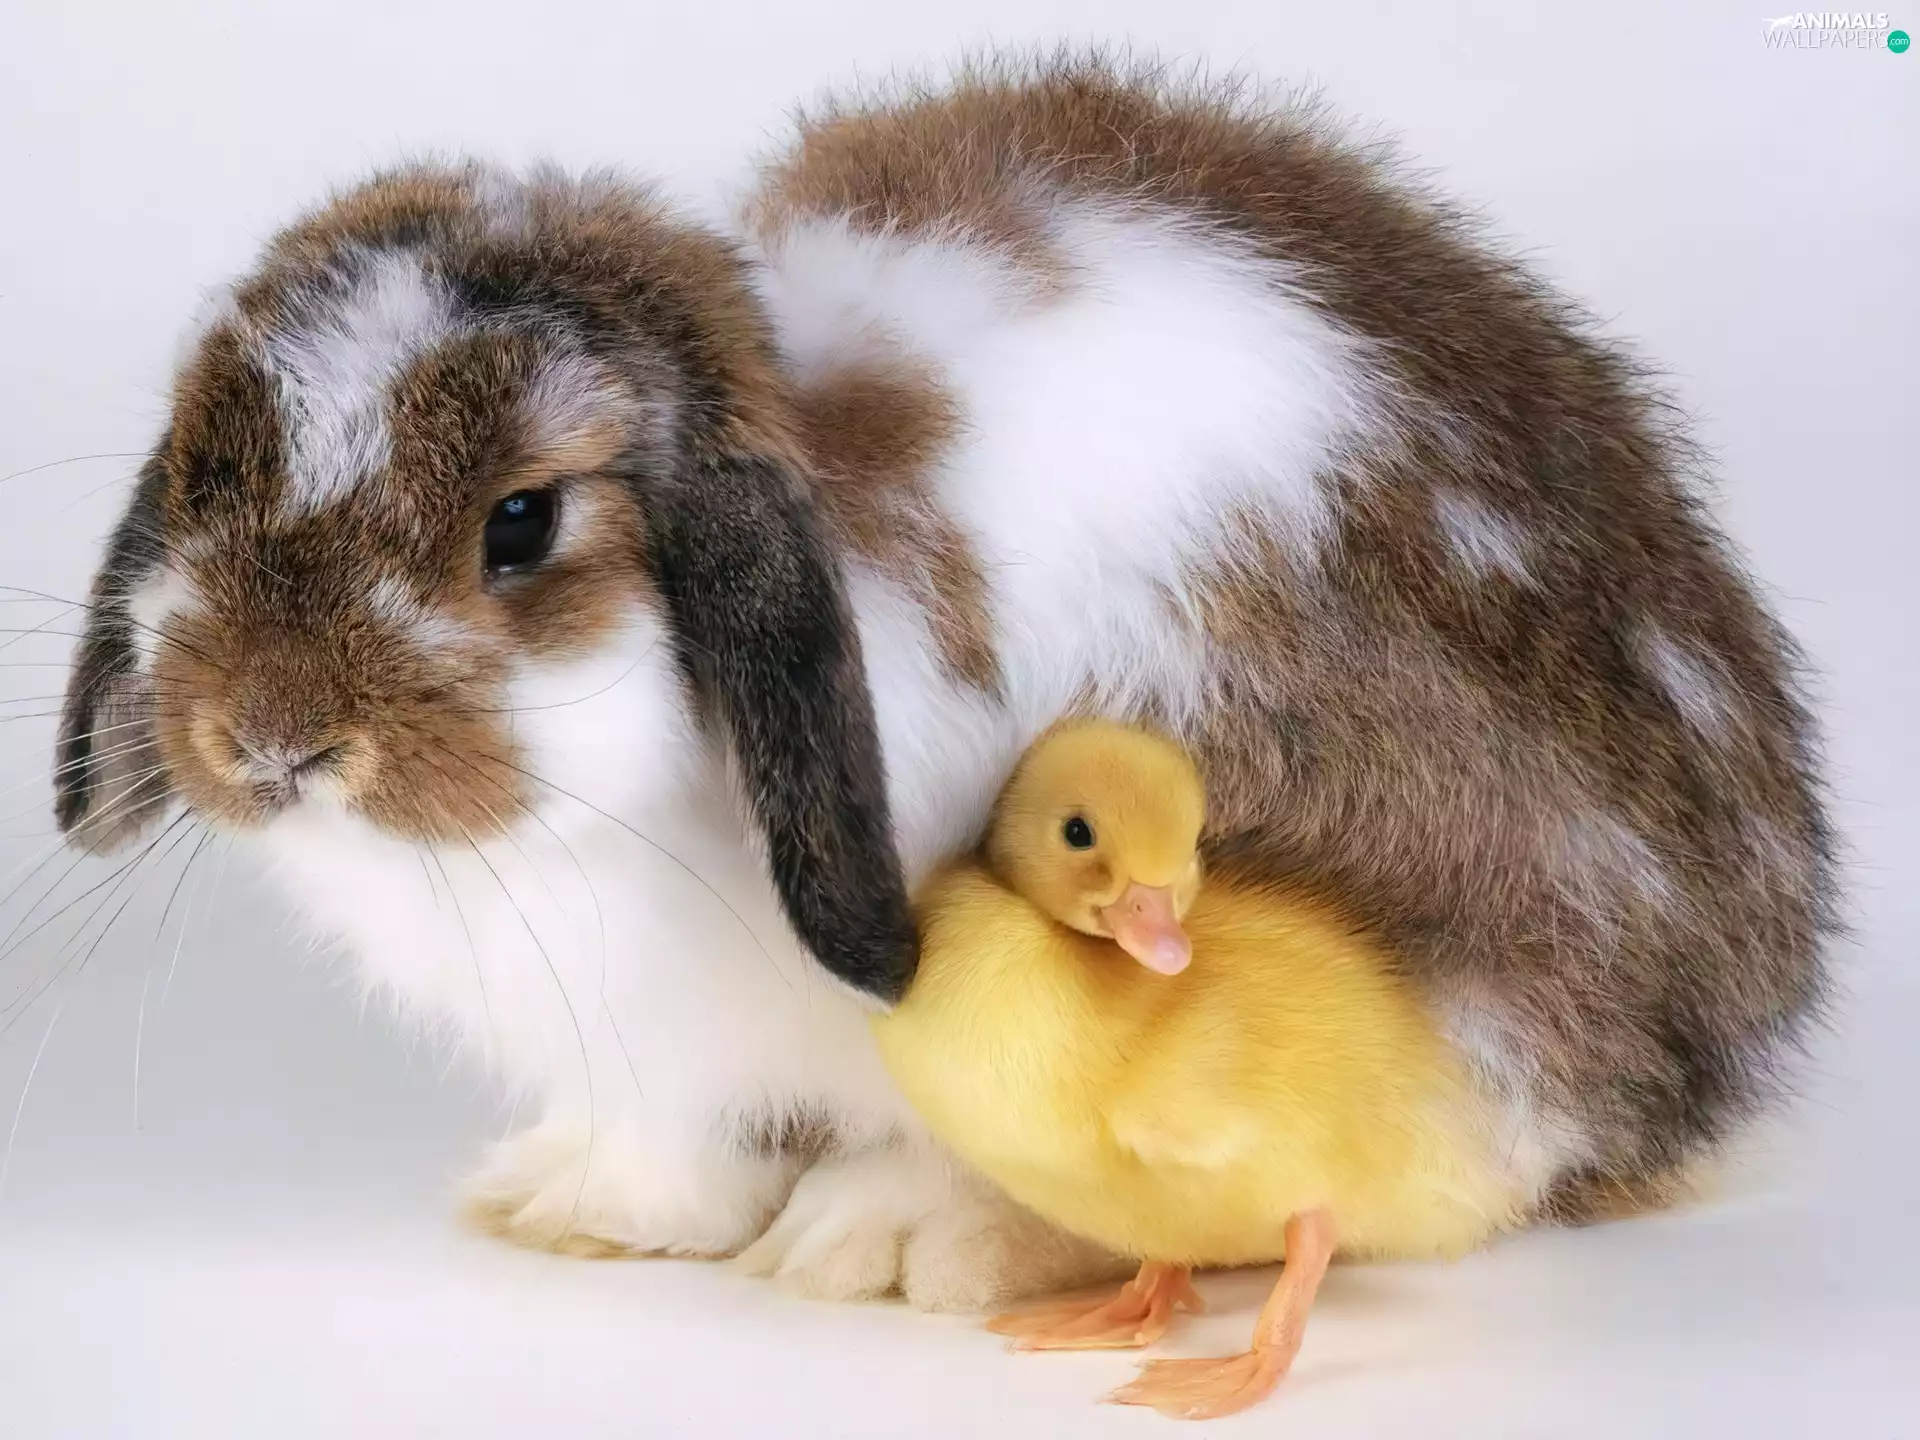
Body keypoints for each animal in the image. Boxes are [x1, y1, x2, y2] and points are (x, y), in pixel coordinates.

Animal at [54, 51, 1834, 1309]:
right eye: (201, 479)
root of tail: (1716, 1040)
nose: (267, 740)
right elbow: (665, 1136)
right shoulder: (653, 1051)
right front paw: (573, 1211)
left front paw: (863, 1238)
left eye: (522, 522)